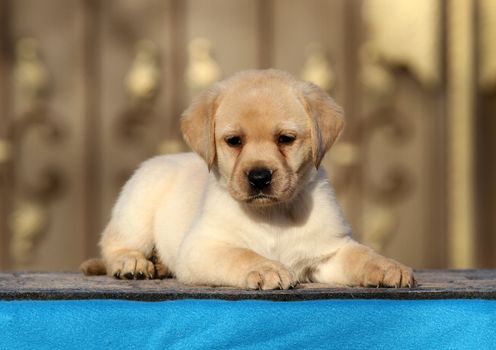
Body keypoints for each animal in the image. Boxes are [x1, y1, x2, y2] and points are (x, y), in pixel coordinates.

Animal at [81, 69, 414, 290]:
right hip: (137, 210)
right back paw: (134, 264)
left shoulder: (330, 250)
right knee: (113, 245)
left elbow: (363, 255)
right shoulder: (202, 247)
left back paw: (159, 265)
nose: (259, 177)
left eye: (286, 139)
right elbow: (240, 254)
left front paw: (389, 267)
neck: (273, 214)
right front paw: (266, 268)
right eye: (234, 141)